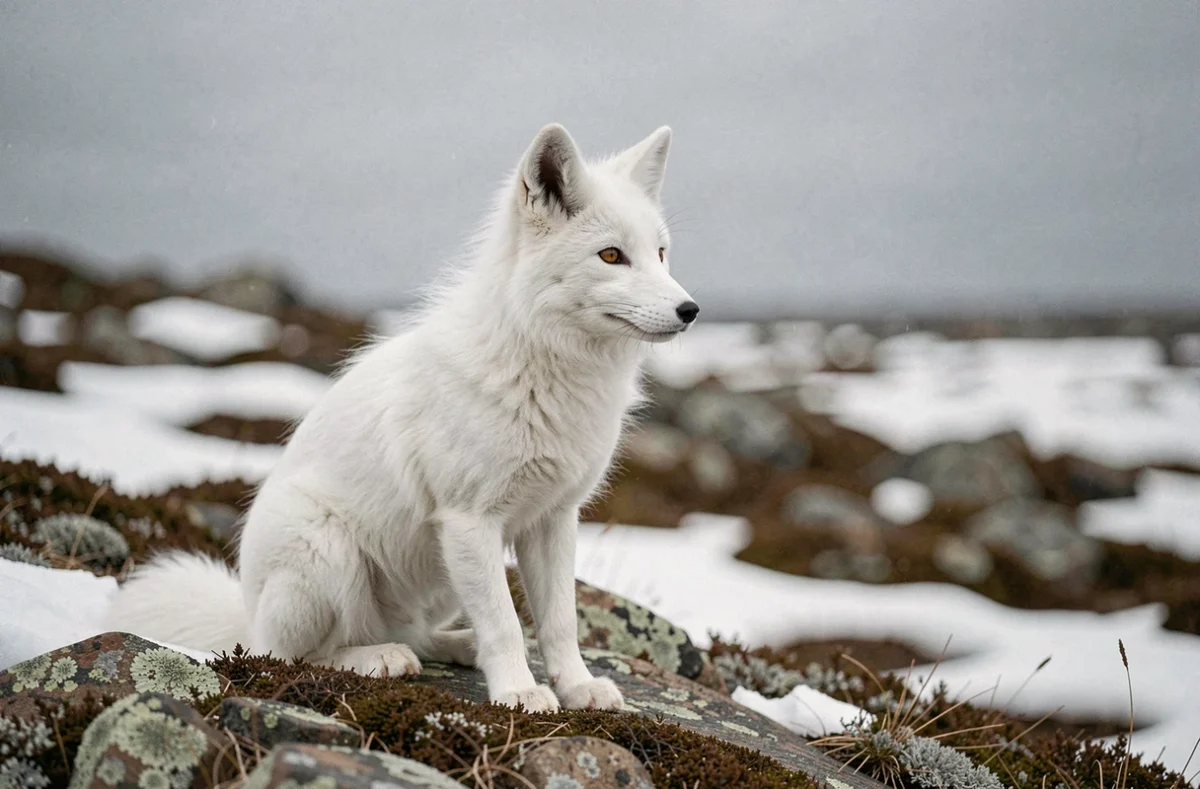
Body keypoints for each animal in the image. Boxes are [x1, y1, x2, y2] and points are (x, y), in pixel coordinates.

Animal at [104, 123, 699, 712]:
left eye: (661, 254)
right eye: (611, 256)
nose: (690, 311)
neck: (543, 368)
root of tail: (246, 613)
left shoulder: (553, 519)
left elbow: (559, 621)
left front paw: (576, 686)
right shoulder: (469, 521)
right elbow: (506, 624)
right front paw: (518, 693)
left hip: (439, 580)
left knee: (413, 633)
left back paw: (453, 647)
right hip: (330, 552)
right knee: (291, 655)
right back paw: (379, 659)